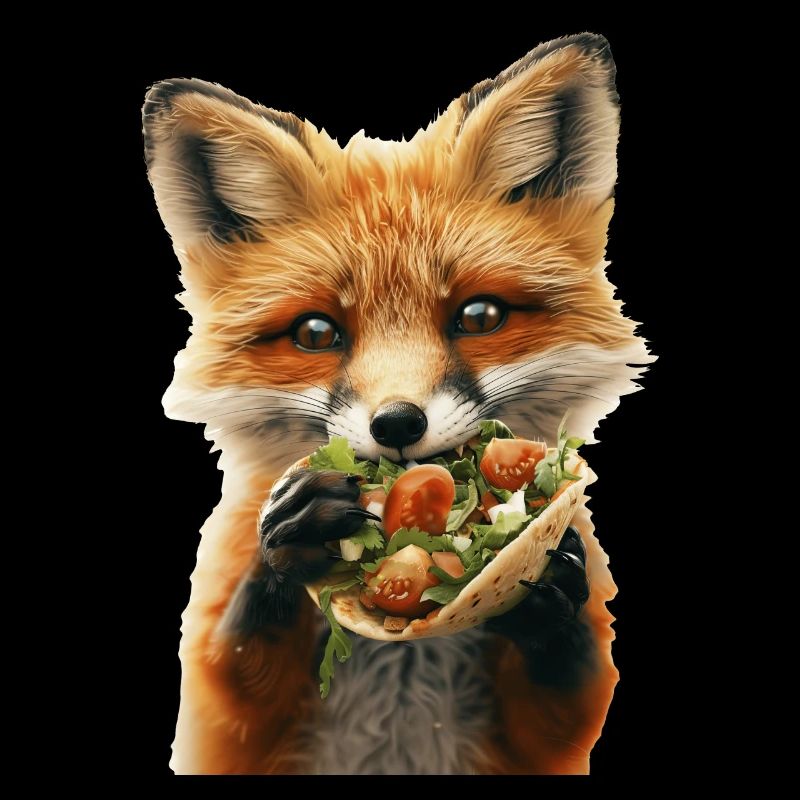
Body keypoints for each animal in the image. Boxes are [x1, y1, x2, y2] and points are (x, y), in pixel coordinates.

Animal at [143, 33, 654, 775]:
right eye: (316, 333)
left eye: (479, 316)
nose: (397, 423)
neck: (408, 653)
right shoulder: (218, 717)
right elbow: (236, 666)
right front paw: (291, 532)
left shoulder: (552, 731)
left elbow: (567, 694)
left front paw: (550, 594)